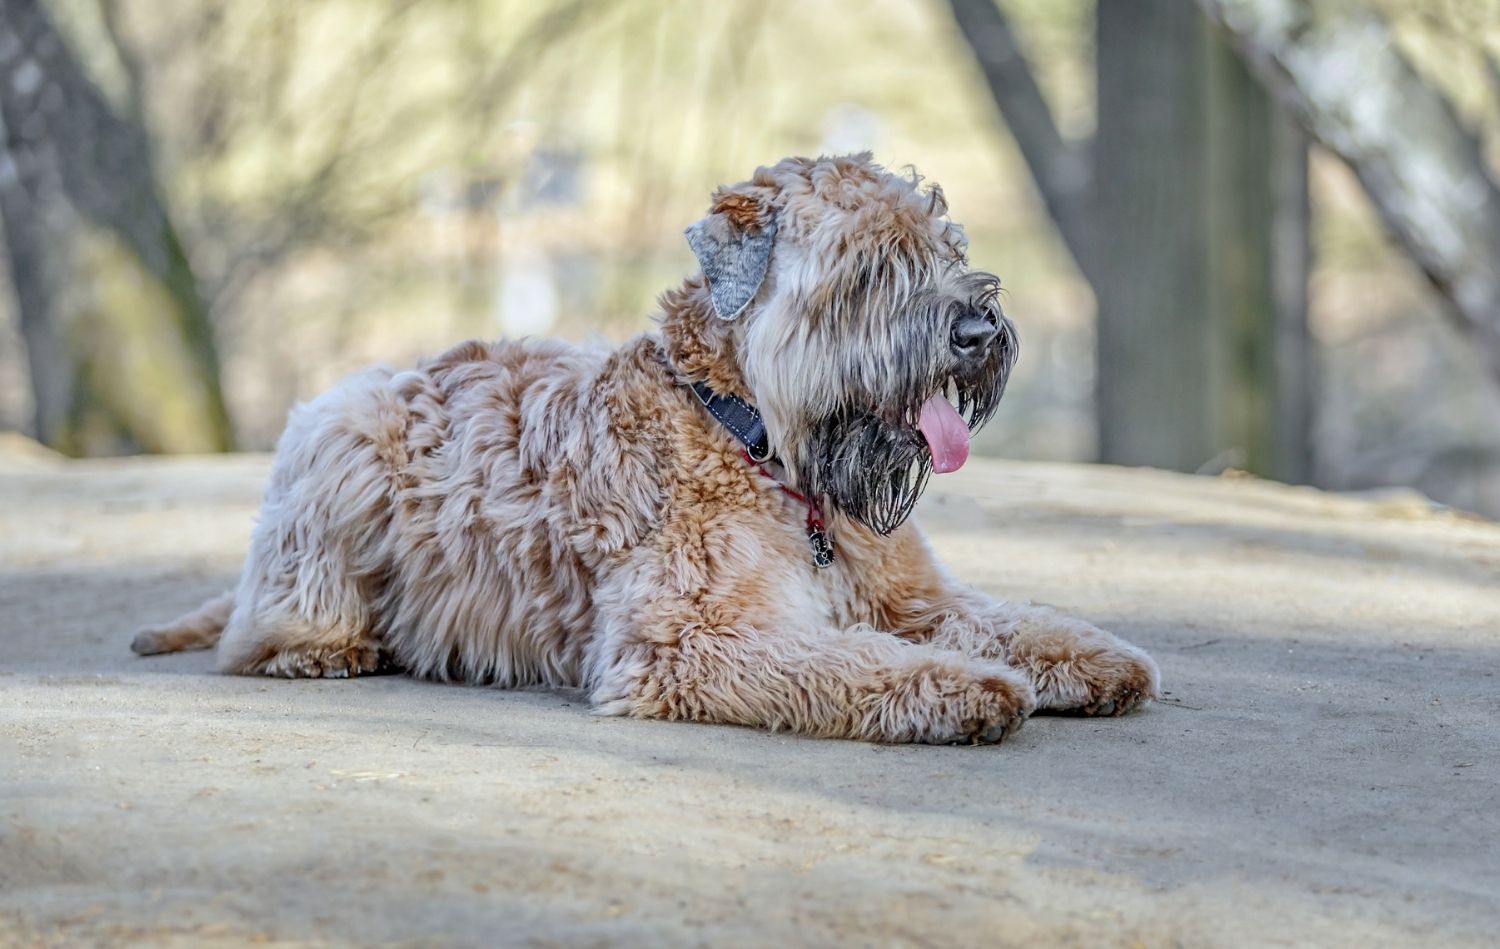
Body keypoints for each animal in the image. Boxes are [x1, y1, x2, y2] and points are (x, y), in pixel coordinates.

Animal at [132, 153, 1158, 740]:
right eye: (869, 268)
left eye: (949, 246)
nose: (979, 331)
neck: (758, 443)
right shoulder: (695, 637)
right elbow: (855, 663)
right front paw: (970, 689)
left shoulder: (910, 597)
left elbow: (1006, 619)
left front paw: (1095, 657)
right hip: (339, 431)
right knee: (268, 621)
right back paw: (325, 645)